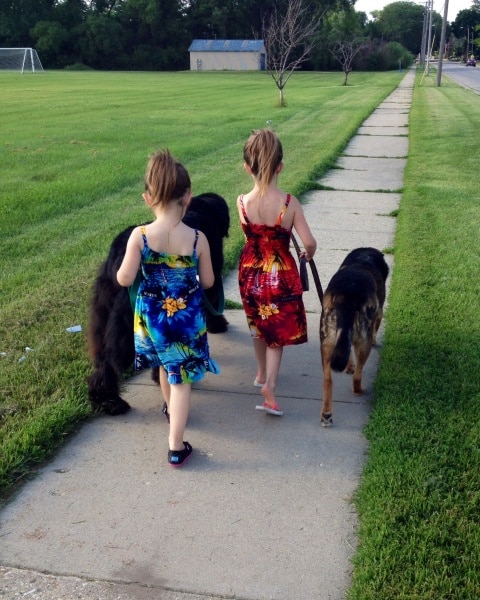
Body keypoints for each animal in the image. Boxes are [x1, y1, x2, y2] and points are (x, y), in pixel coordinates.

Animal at [88, 192, 231, 412]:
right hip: (126, 320)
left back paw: (105, 399)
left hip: (104, 311)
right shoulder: (211, 273)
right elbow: (212, 299)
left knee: (103, 357)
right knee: (113, 358)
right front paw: (218, 324)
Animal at [320, 248, 388, 426]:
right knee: (358, 376)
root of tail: (347, 296)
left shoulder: (342, 335)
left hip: (326, 342)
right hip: (364, 342)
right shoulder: (378, 313)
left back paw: (326, 414)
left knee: (328, 380)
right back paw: (359, 390)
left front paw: (348, 366)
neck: (363, 258)